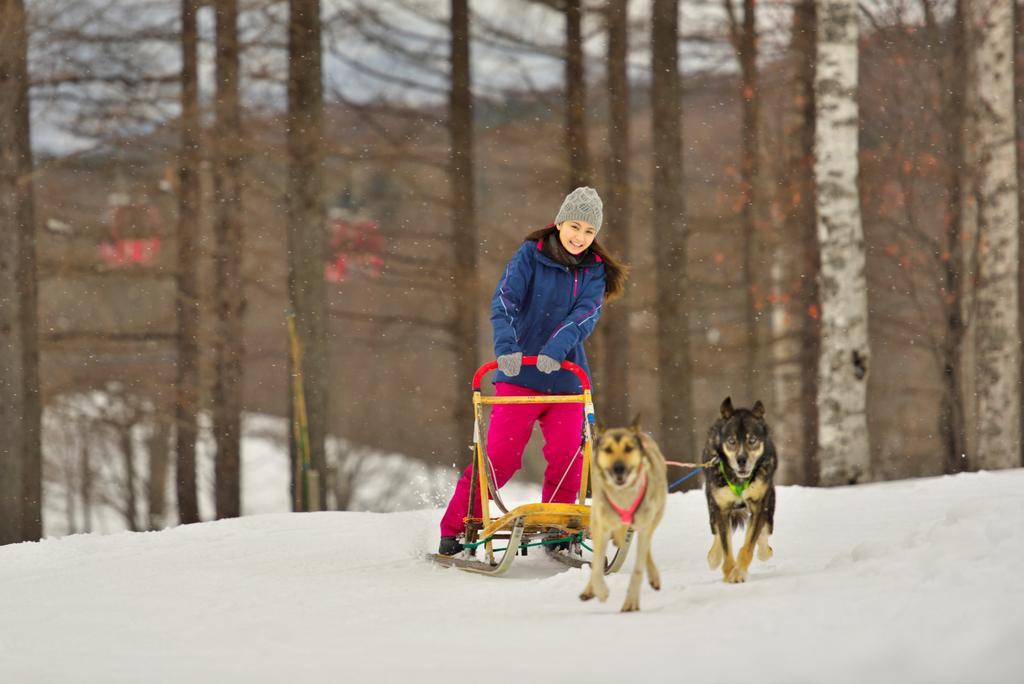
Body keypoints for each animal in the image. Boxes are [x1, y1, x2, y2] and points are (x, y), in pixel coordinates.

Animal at [581, 417, 667, 614]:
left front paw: (631, 602)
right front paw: (599, 590)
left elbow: (637, 568)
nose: (618, 467)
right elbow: (596, 566)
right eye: (608, 449)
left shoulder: (643, 525)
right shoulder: (600, 526)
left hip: (653, 519)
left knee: (645, 547)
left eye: (629, 448)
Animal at [700, 397, 778, 585]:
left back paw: (764, 550)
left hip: (770, 501)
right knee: (716, 531)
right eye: (731, 440)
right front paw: (729, 572)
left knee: (765, 528)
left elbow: (749, 544)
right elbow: (726, 546)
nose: (741, 460)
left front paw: (739, 572)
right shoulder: (721, 507)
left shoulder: (760, 504)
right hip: (712, 503)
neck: (739, 480)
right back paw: (714, 557)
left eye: (752, 440)